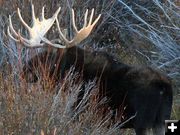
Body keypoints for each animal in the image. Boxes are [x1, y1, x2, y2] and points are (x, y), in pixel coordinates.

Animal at [7, 4, 172, 135]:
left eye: (48, 56)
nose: (24, 70)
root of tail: (164, 87)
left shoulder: (83, 114)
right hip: (161, 121)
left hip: (142, 122)